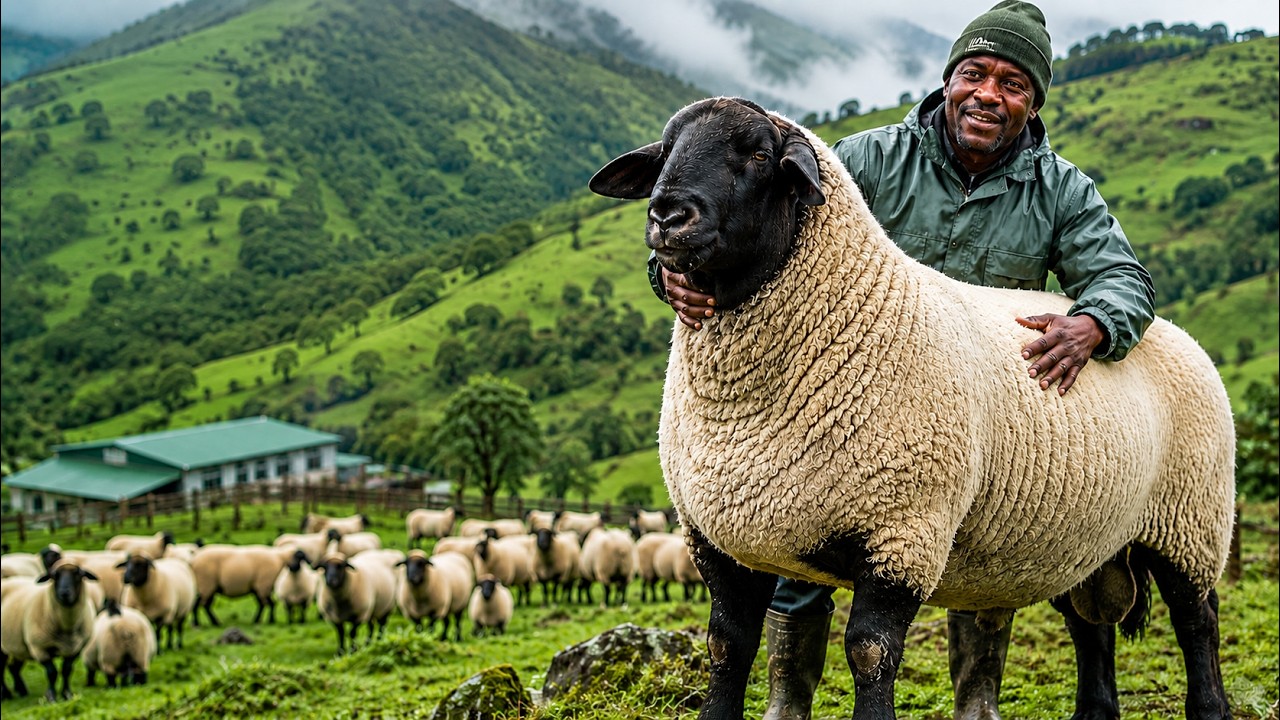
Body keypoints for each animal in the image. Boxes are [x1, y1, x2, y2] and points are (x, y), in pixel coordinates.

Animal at [0, 561, 99, 702]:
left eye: (78, 574)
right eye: (54, 576)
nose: (64, 593)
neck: (67, 627)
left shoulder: (76, 649)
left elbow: (67, 670)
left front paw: (67, 694)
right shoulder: (39, 647)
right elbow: (52, 672)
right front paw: (51, 696)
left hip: (19, 644)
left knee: (14, 667)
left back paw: (21, 690)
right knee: (2, 667)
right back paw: (5, 694)